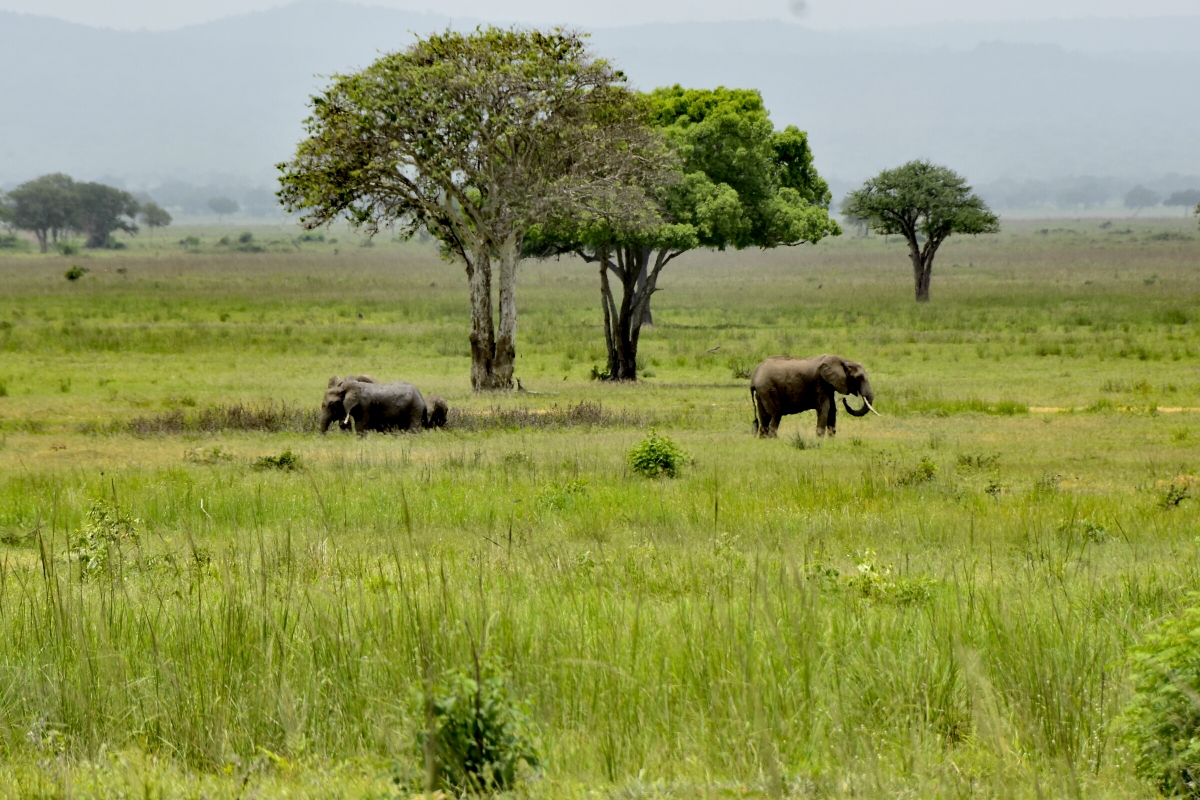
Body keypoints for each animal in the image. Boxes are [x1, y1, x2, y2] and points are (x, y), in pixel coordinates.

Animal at [748, 355, 883, 438]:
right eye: (858, 378)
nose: (845, 399)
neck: (842, 360)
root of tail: (754, 377)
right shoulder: (821, 383)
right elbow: (825, 408)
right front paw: (819, 441)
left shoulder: (829, 385)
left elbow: (832, 409)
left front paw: (831, 440)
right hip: (768, 389)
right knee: (775, 415)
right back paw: (775, 441)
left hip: (761, 392)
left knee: (764, 418)